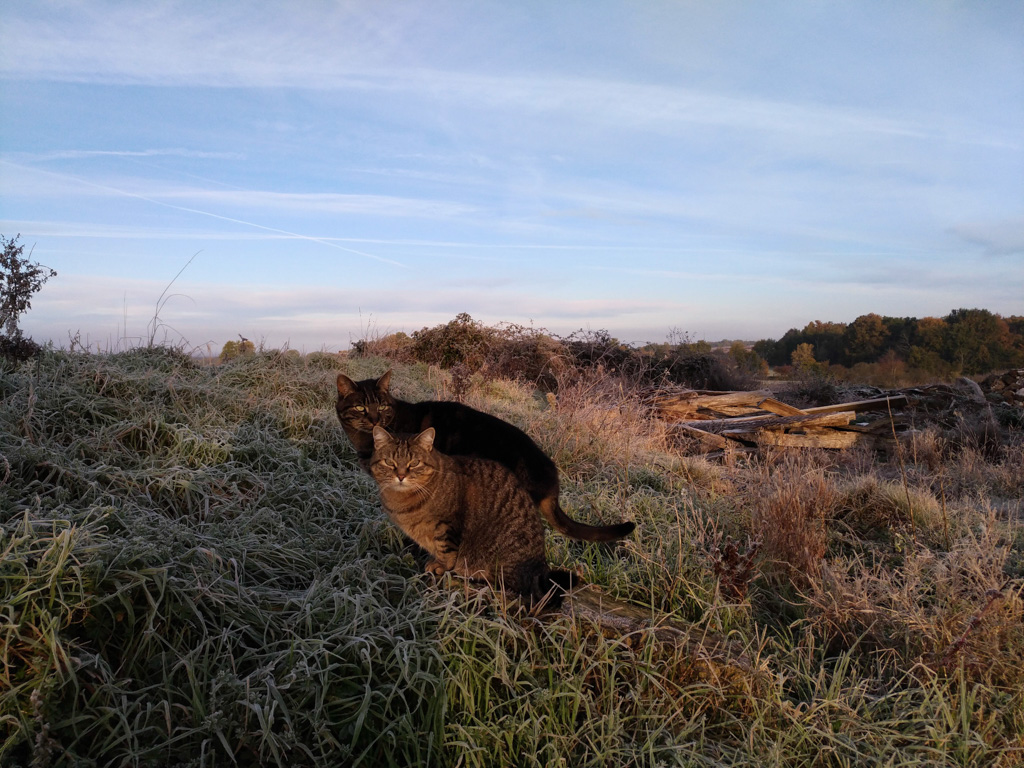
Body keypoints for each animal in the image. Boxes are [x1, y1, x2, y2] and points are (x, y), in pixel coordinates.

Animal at [368, 428, 577, 606]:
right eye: (389, 462)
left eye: (414, 463)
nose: (401, 476)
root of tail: (541, 565)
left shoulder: (447, 525)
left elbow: (446, 551)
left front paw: (441, 566)